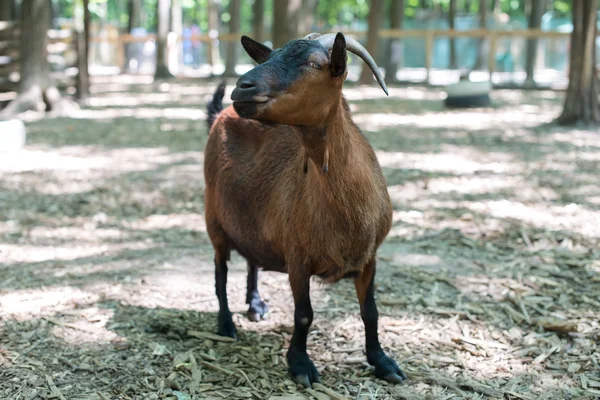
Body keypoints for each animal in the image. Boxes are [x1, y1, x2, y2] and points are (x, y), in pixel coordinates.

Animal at [204, 32, 406, 388]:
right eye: (269, 57)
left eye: (314, 64)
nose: (243, 86)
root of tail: (220, 116)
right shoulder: (297, 258)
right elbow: (304, 314)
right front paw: (300, 365)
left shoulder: (369, 257)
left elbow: (371, 312)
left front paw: (383, 363)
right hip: (213, 219)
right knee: (220, 273)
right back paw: (226, 325)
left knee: (251, 258)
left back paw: (255, 305)